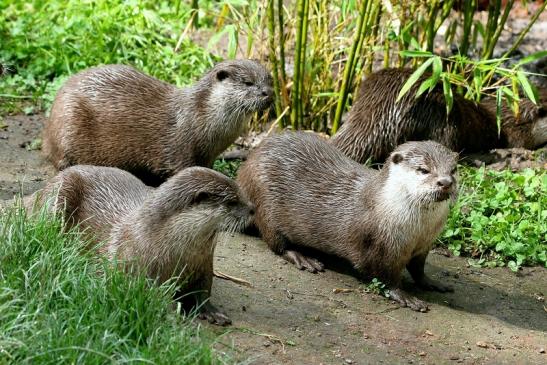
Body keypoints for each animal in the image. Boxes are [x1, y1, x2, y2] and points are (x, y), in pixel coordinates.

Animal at [33, 165, 256, 324]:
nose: (253, 208)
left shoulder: (203, 265)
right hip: (60, 194)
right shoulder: (136, 266)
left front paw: (212, 313)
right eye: (232, 202)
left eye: (241, 192)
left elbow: (202, 291)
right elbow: (148, 294)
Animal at [44, 60, 274, 185]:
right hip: (68, 123)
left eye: (269, 80)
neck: (201, 115)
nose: (267, 93)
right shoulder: (182, 148)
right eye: (248, 83)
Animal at [239, 132, 458, 312]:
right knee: (275, 242)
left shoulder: (424, 245)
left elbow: (418, 268)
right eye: (423, 170)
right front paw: (404, 296)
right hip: (265, 203)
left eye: (453, 170)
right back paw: (303, 258)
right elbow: (384, 276)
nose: (445, 182)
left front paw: (431, 282)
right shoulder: (380, 246)